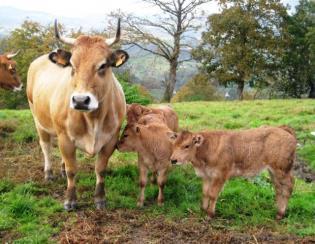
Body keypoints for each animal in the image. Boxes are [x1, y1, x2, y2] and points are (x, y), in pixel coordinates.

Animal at [27, 19, 128, 210]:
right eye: (72, 66)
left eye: (103, 65)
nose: (81, 100)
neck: (93, 119)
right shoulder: (65, 138)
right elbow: (72, 170)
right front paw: (70, 200)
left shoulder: (111, 139)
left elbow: (100, 169)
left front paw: (100, 198)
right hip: (38, 120)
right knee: (46, 147)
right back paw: (49, 173)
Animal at [169, 126, 298, 219]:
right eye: (173, 144)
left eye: (186, 145)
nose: (173, 160)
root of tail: (282, 128)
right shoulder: (206, 175)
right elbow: (205, 193)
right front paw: (203, 210)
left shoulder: (220, 175)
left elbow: (212, 194)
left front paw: (210, 214)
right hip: (273, 171)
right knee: (279, 188)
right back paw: (277, 210)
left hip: (282, 169)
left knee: (288, 186)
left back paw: (281, 213)